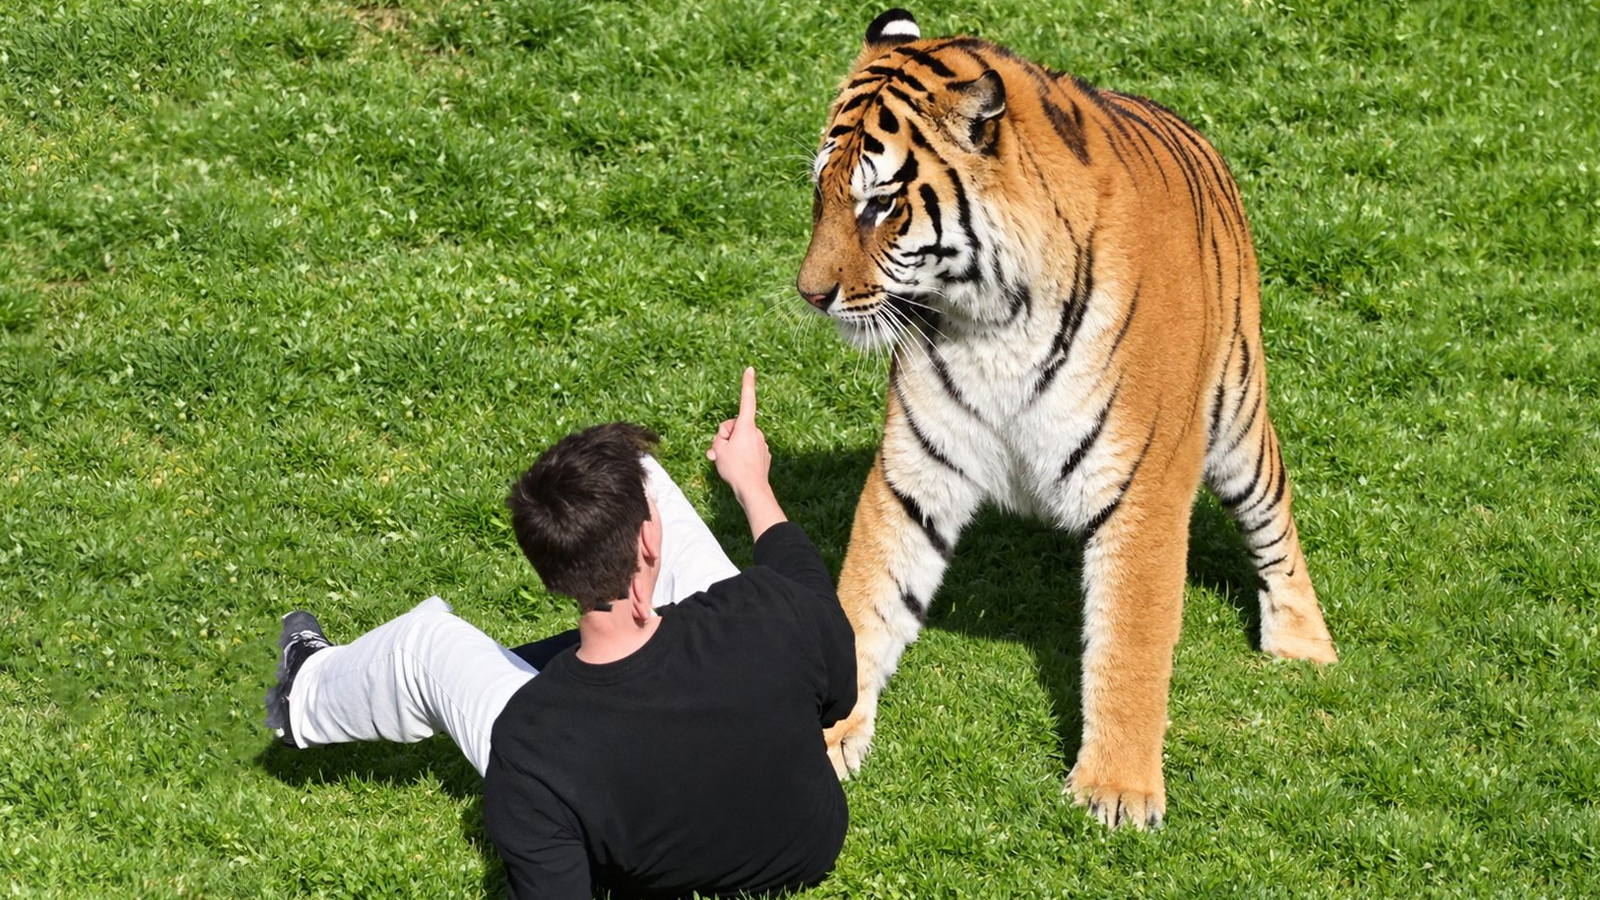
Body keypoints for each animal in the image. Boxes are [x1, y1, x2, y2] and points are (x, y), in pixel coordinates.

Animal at [797, 9, 1337, 829]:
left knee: (1274, 520)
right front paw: (824, 739)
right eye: (821, 193)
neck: (991, 318)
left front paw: (1115, 790)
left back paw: (1304, 645)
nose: (809, 294)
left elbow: (1131, 642)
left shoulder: (1144, 484)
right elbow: (868, 598)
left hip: (1239, 414)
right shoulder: (916, 471)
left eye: (881, 205)